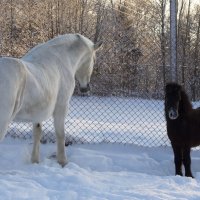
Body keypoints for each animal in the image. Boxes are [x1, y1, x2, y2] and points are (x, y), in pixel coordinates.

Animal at [0, 34, 102, 166]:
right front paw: (63, 162)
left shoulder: (37, 113)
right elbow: (60, 134)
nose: (85, 88)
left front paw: (35, 161)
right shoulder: (62, 107)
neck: (61, 60)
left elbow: (37, 133)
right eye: (94, 60)